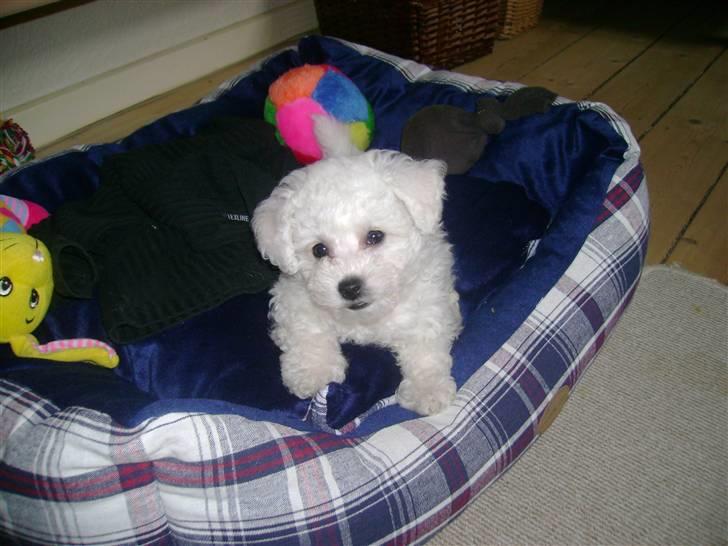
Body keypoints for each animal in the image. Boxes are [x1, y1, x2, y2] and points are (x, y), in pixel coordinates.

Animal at [253, 144, 464, 412]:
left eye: (375, 236)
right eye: (319, 250)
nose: (350, 287)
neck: (365, 319)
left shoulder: (429, 298)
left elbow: (425, 341)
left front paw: (427, 389)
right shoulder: (294, 296)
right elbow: (307, 329)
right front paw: (313, 370)